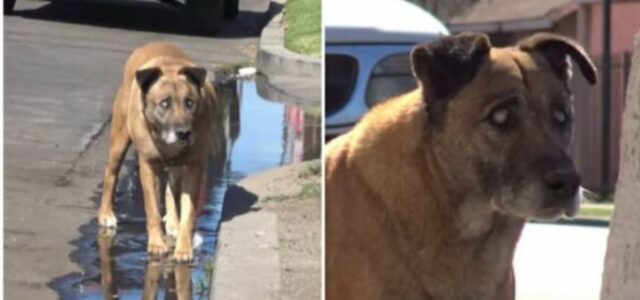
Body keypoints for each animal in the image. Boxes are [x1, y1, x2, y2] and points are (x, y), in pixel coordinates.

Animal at [98, 42, 218, 262]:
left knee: (171, 190)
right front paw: (156, 243)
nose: (184, 133)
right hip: (119, 140)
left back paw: (172, 223)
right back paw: (106, 213)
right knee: (111, 174)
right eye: (164, 103)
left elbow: (188, 212)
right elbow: (152, 208)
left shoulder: (194, 165)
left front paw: (183, 247)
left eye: (190, 102)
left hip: (178, 166)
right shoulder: (147, 165)